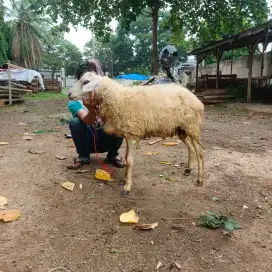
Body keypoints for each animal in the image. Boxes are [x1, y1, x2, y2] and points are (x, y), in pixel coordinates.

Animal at [68, 71, 204, 196]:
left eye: (86, 82)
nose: (69, 94)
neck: (118, 99)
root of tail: (196, 99)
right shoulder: (128, 133)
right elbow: (126, 157)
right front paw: (124, 180)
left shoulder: (132, 134)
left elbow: (129, 161)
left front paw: (127, 186)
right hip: (182, 129)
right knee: (191, 148)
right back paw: (189, 169)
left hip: (193, 127)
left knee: (200, 153)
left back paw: (200, 179)